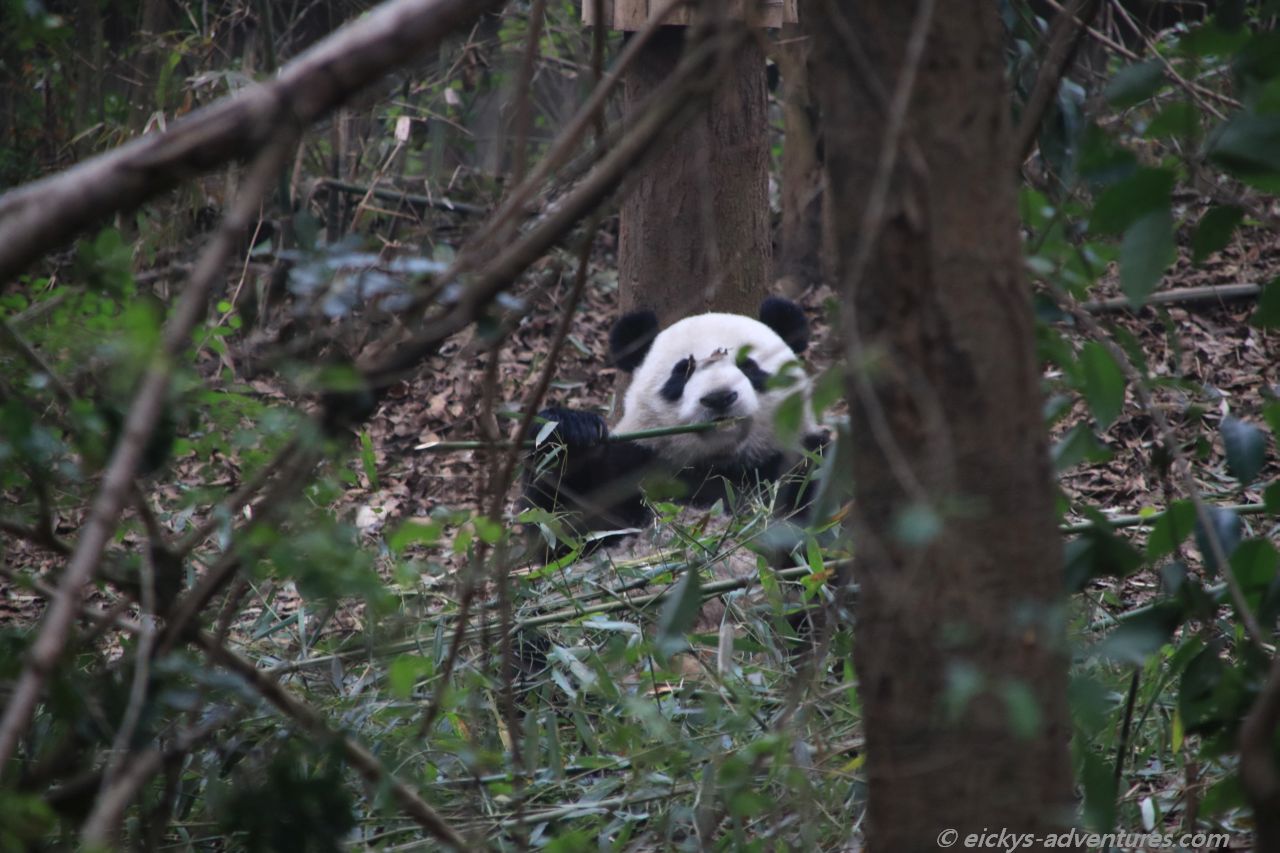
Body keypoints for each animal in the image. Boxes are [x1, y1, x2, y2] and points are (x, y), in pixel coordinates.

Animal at [525, 296, 828, 543]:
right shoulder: (633, 466)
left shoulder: (799, 459)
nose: (719, 397)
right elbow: (560, 525)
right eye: (683, 371)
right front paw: (570, 432)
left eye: (748, 366)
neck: (719, 465)